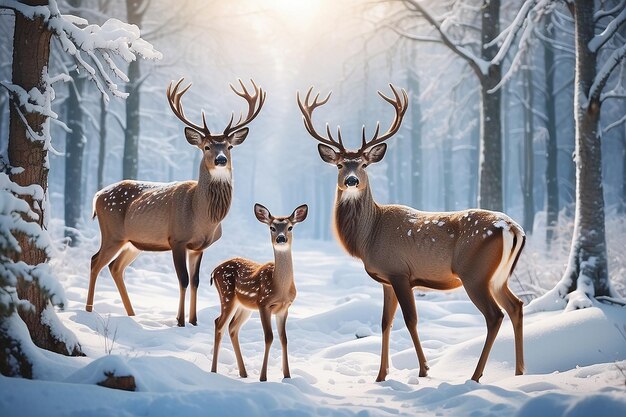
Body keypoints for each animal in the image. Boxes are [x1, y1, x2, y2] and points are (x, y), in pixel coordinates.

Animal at [86, 77, 264, 324]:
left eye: (229, 146)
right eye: (206, 146)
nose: (220, 160)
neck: (203, 218)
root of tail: (97, 195)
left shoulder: (199, 247)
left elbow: (196, 281)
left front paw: (194, 320)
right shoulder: (177, 239)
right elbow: (183, 280)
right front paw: (179, 321)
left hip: (133, 242)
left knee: (115, 267)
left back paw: (132, 315)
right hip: (112, 233)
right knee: (95, 261)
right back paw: (88, 310)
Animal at [210, 202, 308, 380]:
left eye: (290, 227)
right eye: (272, 227)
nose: (281, 238)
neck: (280, 288)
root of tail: (214, 270)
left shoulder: (284, 308)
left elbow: (284, 338)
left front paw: (287, 376)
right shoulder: (263, 303)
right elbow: (269, 337)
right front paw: (263, 377)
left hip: (244, 306)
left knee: (232, 327)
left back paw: (244, 373)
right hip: (227, 295)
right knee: (219, 324)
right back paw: (213, 371)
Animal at [294, 85, 524, 384]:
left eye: (364, 165)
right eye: (340, 165)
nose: (351, 181)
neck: (369, 236)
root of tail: (512, 227)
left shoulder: (400, 272)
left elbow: (410, 320)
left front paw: (424, 369)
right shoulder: (386, 279)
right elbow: (385, 322)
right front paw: (381, 375)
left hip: (474, 273)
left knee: (494, 315)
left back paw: (475, 375)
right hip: (498, 276)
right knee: (516, 306)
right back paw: (519, 372)